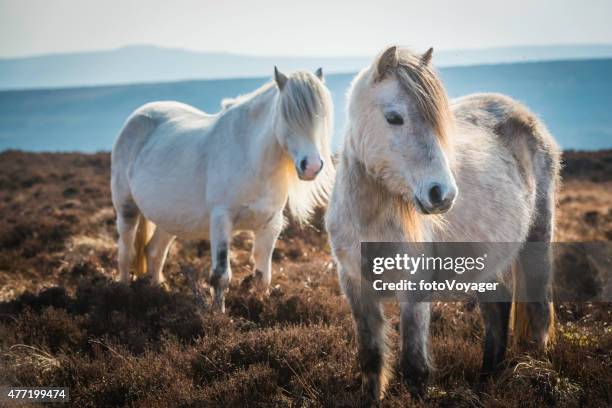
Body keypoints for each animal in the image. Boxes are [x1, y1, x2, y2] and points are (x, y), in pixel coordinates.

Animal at [109, 67, 330, 310]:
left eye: (322, 118)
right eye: (288, 115)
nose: (311, 166)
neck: (251, 158)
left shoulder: (270, 224)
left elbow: (263, 277)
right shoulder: (221, 219)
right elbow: (221, 275)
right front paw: (218, 314)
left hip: (169, 219)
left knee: (155, 252)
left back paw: (156, 292)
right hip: (127, 209)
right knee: (126, 252)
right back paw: (123, 293)